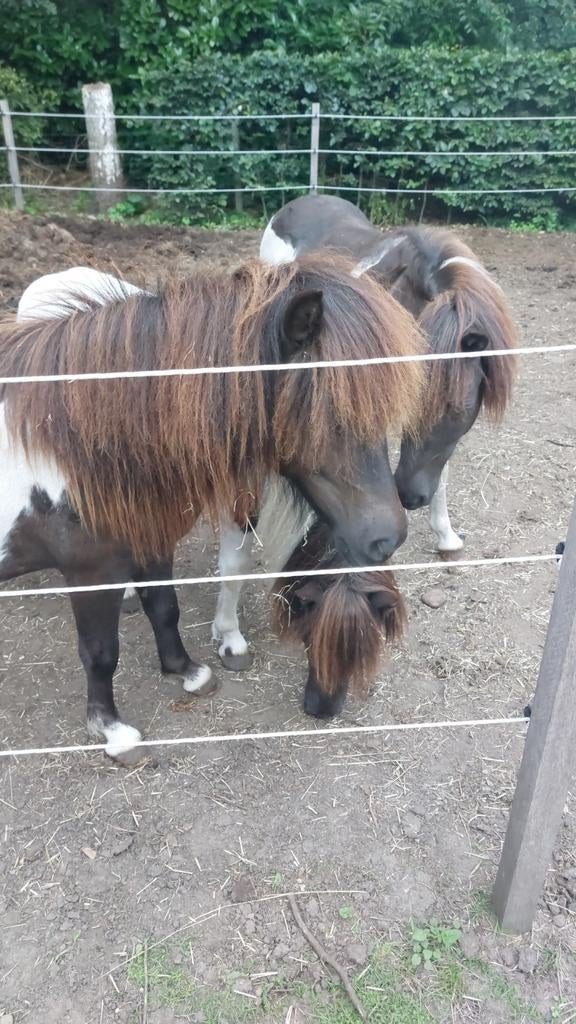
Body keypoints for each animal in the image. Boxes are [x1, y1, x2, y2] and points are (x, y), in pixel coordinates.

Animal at [3, 255, 424, 755]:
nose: (388, 536)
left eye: (365, 649)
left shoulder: (155, 533)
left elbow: (168, 604)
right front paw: (113, 731)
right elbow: (102, 651)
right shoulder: (93, 569)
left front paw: (192, 669)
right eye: (328, 415)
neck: (83, 437)